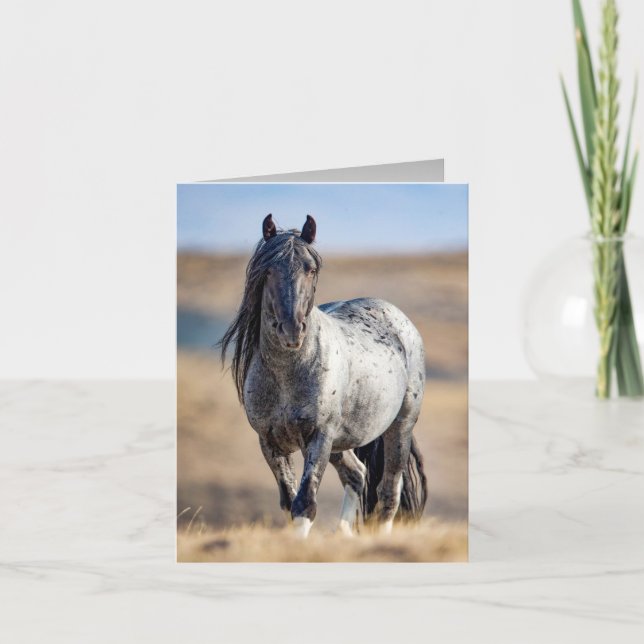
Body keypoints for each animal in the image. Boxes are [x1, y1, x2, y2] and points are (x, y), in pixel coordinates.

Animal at [219, 214, 427, 538]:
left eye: (311, 269)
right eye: (268, 269)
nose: (292, 330)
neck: (287, 376)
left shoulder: (319, 436)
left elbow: (305, 503)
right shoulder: (269, 442)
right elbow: (289, 500)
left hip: (399, 427)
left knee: (389, 491)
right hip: (341, 443)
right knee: (357, 475)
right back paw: (344, 535)